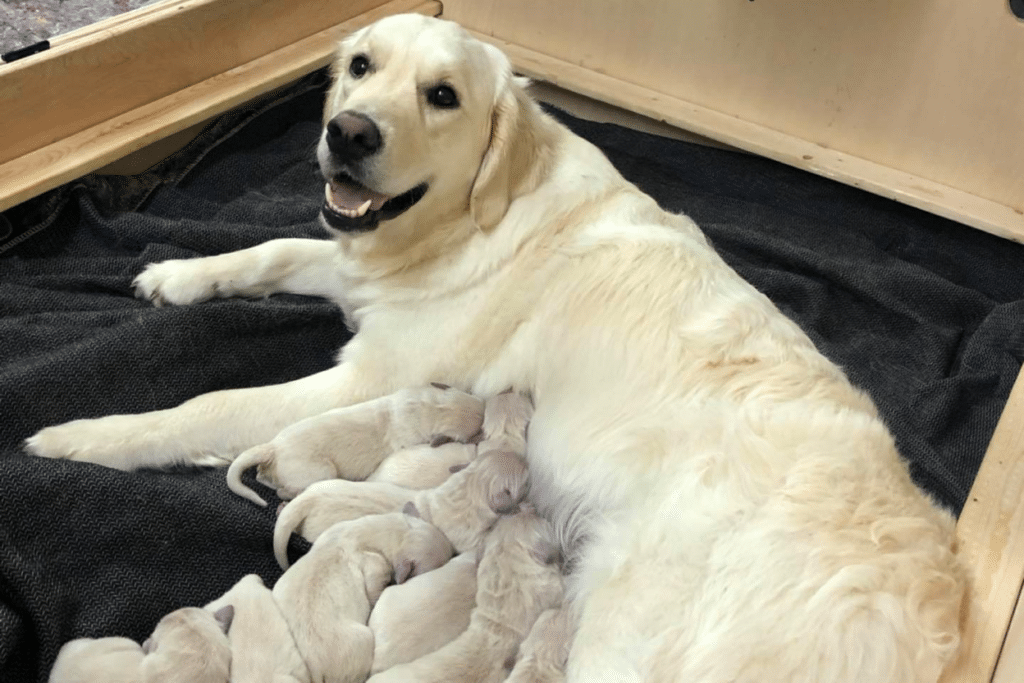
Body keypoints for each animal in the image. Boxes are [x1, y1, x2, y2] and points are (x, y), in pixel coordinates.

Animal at [226, 385, 481, 507]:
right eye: (475, 433)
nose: (484, 407)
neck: (429, 408)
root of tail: (273, 447)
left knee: (261, 476)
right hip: (319, 471)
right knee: (283, 489)